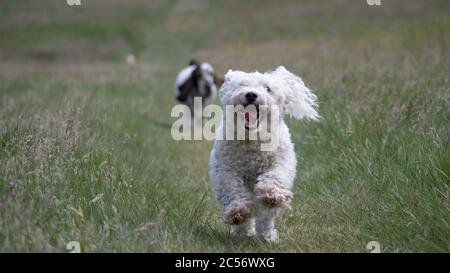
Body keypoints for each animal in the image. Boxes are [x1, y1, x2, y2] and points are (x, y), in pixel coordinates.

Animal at [209, 65, 318, 240]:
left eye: (267, 88)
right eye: (242, 85)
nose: (251, 94)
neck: (253, 139)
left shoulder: (281, 163)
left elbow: (274, 177)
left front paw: (271, 194)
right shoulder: (225, 170)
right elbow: (232, 188)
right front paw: (238, 211)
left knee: (265, 217)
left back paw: (267, 236)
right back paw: (243, 231)